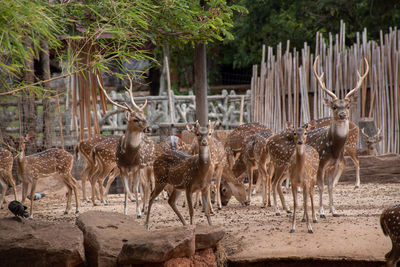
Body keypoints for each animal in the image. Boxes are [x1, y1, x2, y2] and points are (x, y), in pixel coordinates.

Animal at [97, 74, 152, 219]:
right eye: (135, 119)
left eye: (144, 116)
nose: (149, 128)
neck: (129, 157)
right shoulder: (121, 168)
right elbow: (127, 190)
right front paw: (126, 211)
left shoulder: (137, 167)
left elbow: (135, 189)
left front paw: (138, 212)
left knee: (144, 185)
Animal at [304, 56, 370, 218]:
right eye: (334, 106)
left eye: (347, 106)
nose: (342, 114)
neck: (333, 148)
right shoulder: (321, 163)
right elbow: (321, 187)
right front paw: (321, 212)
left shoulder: (333, 165)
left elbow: (330, 187)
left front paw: (334, 210)